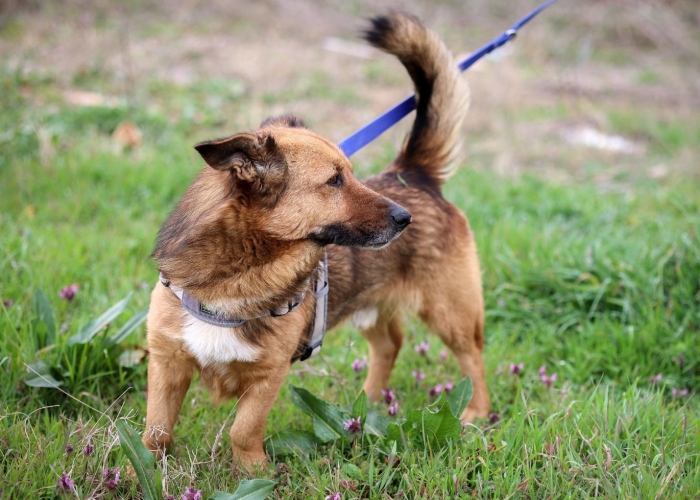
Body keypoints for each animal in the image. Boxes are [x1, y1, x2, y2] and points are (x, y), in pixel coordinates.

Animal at [144, 12, 486, 472]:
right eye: (335, 181)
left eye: (351, 174)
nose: (404, 219)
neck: (236, 274)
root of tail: (413, 175)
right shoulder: (167, 363)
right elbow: (156, 434)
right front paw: (142, 472)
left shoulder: (268, 376)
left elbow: (243, 431)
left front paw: (255, 473)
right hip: (372, 305)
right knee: (391, 343)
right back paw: (367, 402)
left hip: (450, 313)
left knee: (473, 358)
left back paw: (477, 414)